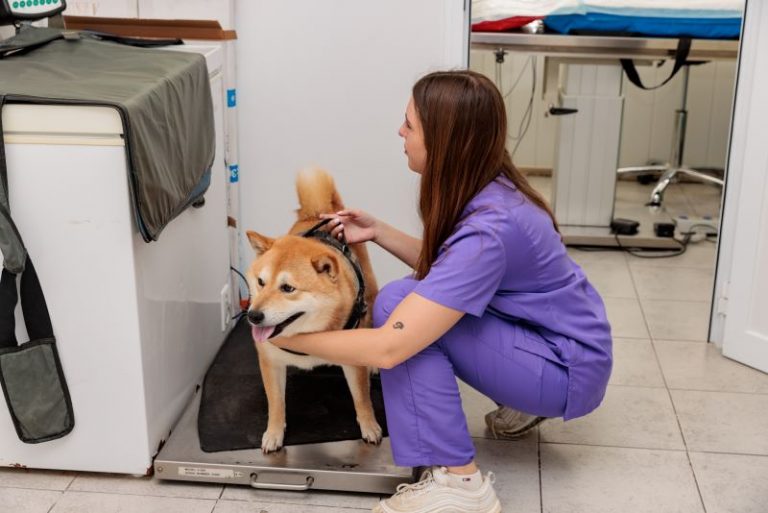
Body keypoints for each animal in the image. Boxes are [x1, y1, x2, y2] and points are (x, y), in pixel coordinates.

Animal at [245, 168, 383, 453]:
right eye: (261, 282)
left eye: (288, 288)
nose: (253, 316)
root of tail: (317, 213)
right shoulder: (271, 362)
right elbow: (276, 403)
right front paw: (274, 433)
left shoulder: (352, 360)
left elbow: (362, 398)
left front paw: (370, 426)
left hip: (370, 296)